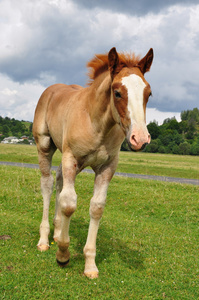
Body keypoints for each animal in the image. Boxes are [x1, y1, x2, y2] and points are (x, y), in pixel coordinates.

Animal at [33, 47, 154, 278]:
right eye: (117, 92)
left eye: (148, 93)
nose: (140, 138)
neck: (97, 123)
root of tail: (50, 90)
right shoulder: (70, 157)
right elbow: (69, 203)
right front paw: (63, 254)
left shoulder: (107, 167)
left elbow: (96, 207)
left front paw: (90, 264)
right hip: (45, 146)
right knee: (47, 184)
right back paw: (44, 239)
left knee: (59, 182)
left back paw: (57, 230)